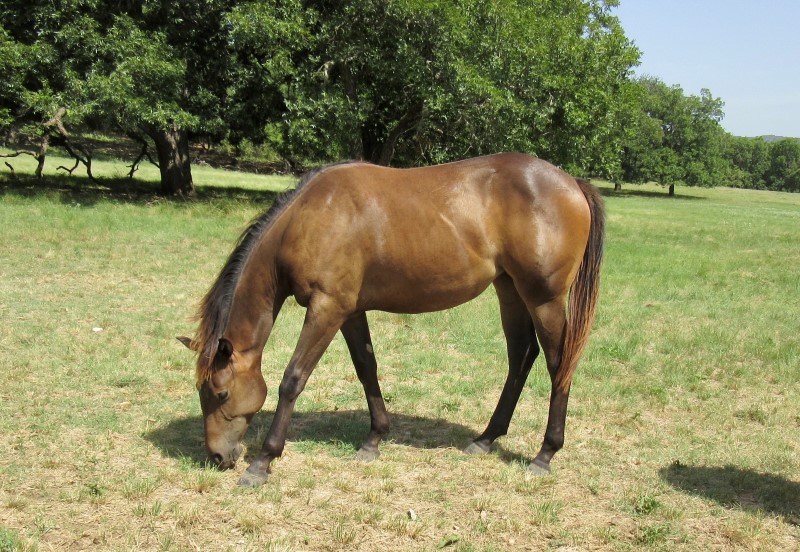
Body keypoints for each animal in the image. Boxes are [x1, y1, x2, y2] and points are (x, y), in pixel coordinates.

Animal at [178, 152, 604, 488]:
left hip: (545, 299)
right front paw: (374, 440)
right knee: (521, 356)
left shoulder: (327, 308)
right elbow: (367, 368)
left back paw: (545, 454)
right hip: (510, 290)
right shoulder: (349, 311)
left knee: (558, 365)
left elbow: (293, 379)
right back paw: (486, 438)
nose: (217, 457)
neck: (311, 216)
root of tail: (572, 183)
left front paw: (263, 462)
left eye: (220, 393)